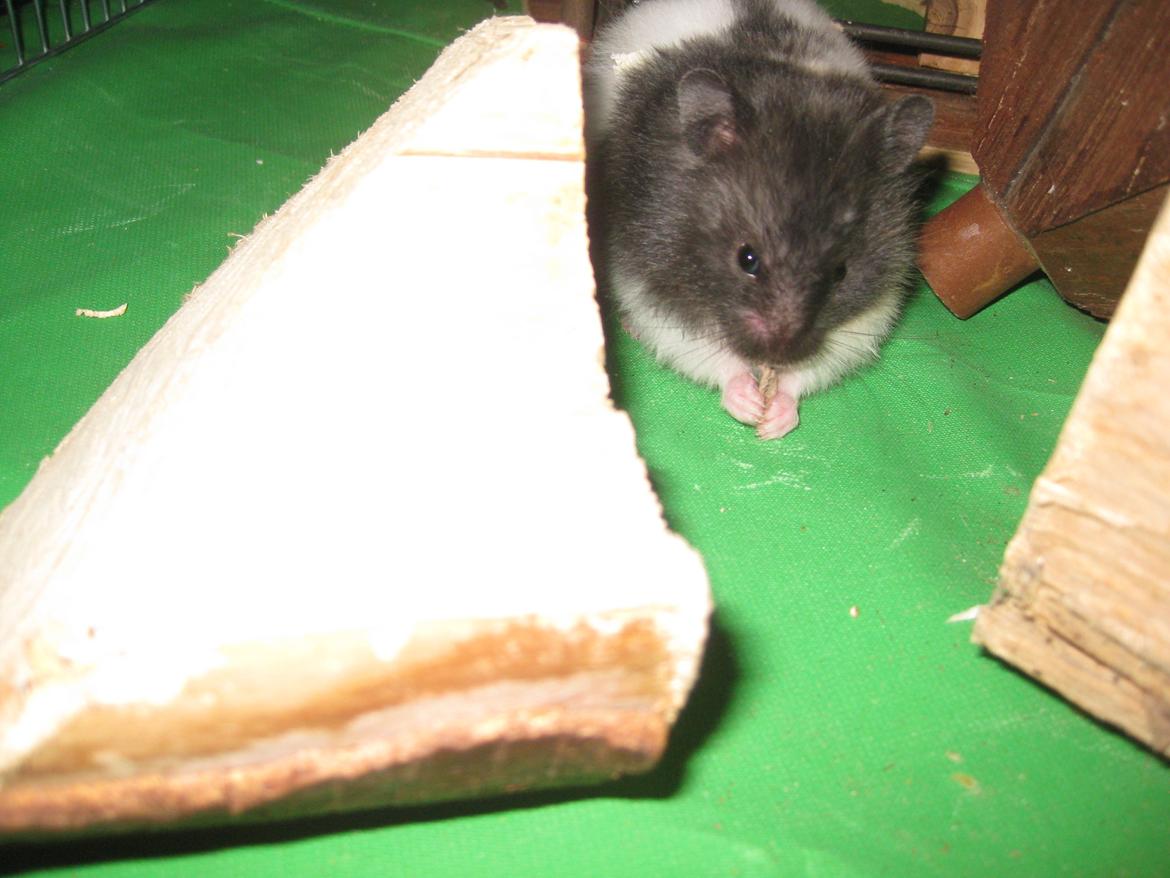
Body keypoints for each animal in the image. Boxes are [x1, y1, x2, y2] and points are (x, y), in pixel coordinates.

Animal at [583, 0, 934, 438]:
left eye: (841, 272)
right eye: (746, 259)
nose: (777, 358)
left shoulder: (873, 310)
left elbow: (820, 364)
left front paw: (774, 421)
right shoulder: (648, 282)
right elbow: (704, 352)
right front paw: (750, 407)